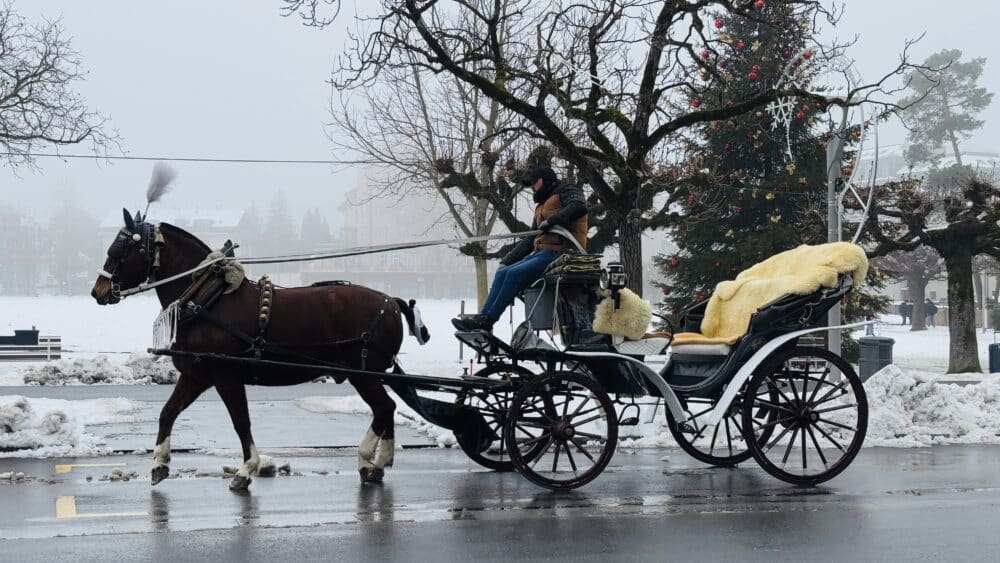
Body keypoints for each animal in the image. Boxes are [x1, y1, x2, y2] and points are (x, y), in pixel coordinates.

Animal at [89, 209, 426, 492]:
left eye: (120, 250)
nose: (97, 291)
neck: (208, 299)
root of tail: (391, 302)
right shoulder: (197, 374)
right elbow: (167, 412)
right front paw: (160, 463)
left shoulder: (226, 376)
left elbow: (241, 422)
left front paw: (246, 469)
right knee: (387, 409)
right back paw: (380, 463)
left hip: (363, 374)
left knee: (383, 408)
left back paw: (367, 459)